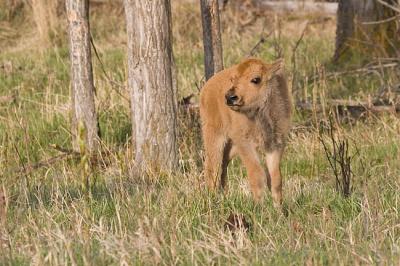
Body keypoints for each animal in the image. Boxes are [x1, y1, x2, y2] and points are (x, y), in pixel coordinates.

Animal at [199, 58, 290, 208]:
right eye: (233, 79)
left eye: (256, 79)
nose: (230, 97)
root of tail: (206, 87)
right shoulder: (245, 144)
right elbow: (257, 175)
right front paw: (260, 207)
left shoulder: (276, 144)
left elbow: (275, 178)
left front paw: (279, 209)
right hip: (215, 136)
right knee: (213, 167)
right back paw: (212, 200)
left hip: (231, 147)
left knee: (223, 166)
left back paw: (223, 196)